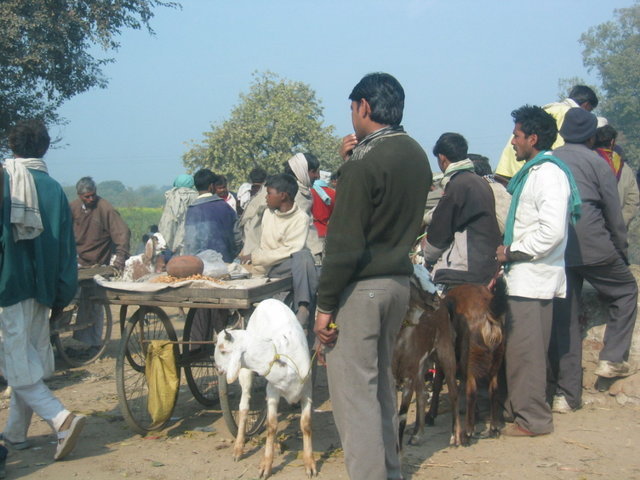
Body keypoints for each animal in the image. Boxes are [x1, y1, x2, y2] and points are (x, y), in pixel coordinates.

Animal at [214, 298, 316, 478]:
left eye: (223, 350)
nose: (217, 368)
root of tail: (268, 300)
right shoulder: (273, 390)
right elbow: (271, 425)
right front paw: (266, 465)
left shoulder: (307, 390)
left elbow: (306, 424)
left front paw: (309, 463)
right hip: (246, 373)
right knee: (244, 407)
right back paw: (239, 448)